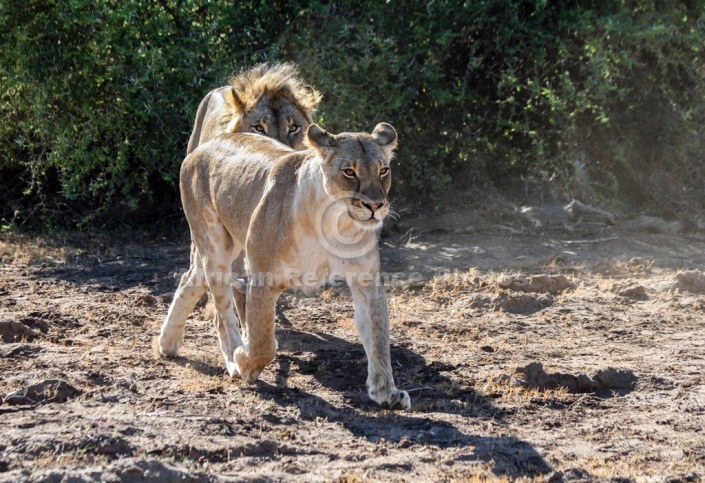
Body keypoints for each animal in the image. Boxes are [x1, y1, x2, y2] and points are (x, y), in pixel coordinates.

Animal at [157, 123, 410, 410]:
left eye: (383, 170)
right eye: (349, 172)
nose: (376, 206)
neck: (333, 223)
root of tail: (204, 147)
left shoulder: (366, 281)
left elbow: (379, 337)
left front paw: (386, 391)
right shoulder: (262, 278)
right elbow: (263, 343)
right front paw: (245, 362)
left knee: (189, 281)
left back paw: (167, 342)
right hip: (215, 246)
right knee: (222, 314)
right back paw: (232, 359)